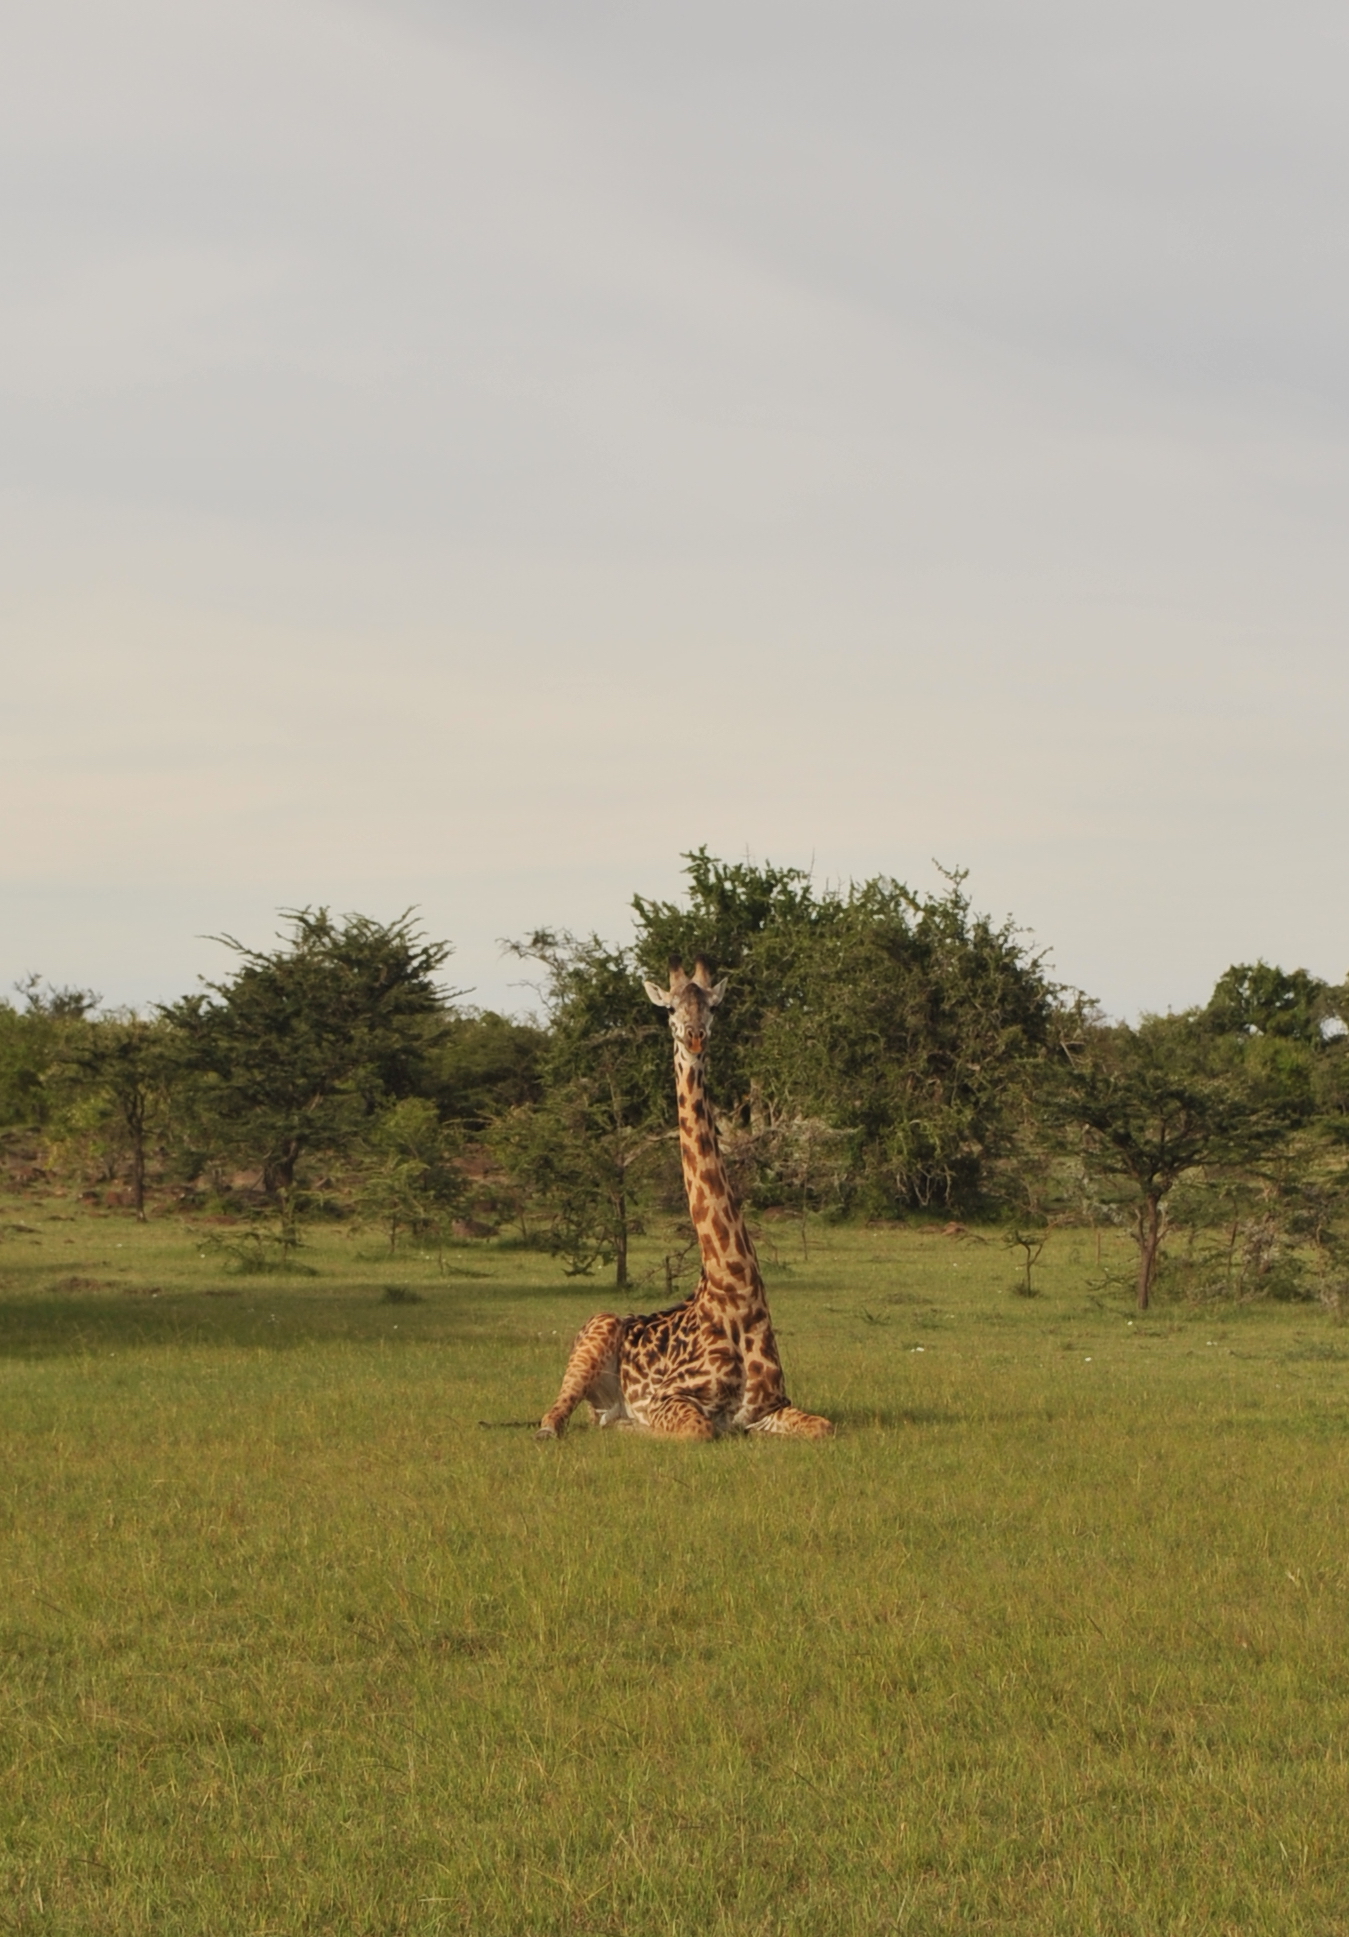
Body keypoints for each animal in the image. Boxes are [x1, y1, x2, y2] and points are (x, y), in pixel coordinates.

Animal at [534, 953, 833, 1441]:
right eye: (671, 1009)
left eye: (713, 1007)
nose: (694, 1037)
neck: (735, 1296)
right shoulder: (670, 1399)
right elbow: (700, 1429)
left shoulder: (771, 1406)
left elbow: (823, 1426)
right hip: (593, 1336)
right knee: (553, 1417)